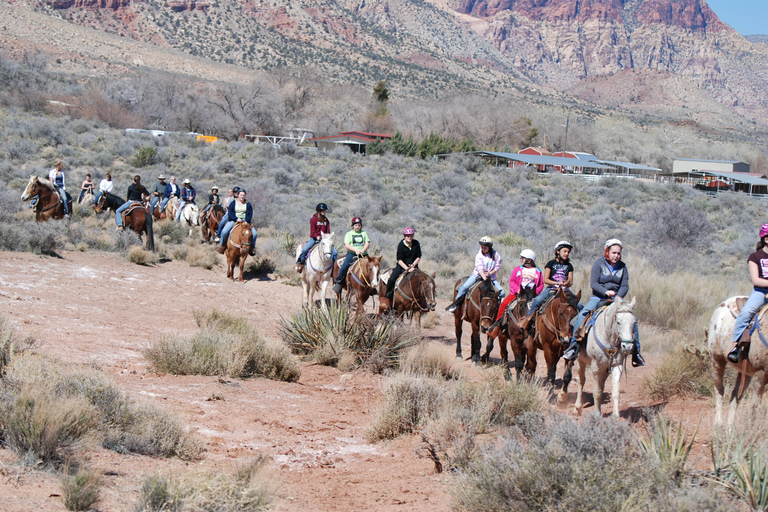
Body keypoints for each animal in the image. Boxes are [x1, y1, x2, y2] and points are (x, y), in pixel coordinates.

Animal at [704, 296, 768, 428]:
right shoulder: (761, 373)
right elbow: (754, 407)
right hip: (717, 359)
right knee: (719, 390)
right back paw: (718, 423)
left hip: (746, 372)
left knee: (735, 396)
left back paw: (730, 428)